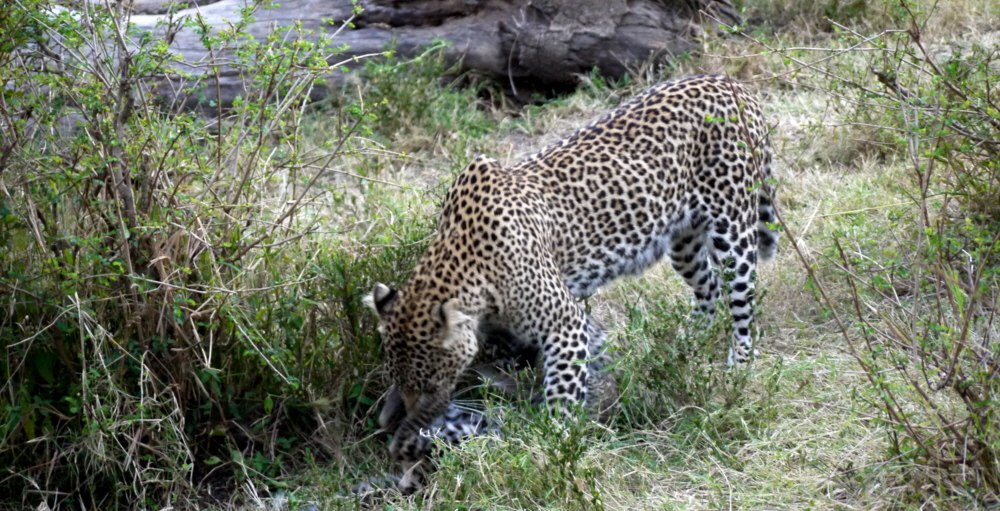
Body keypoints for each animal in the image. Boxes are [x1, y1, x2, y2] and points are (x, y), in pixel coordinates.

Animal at [364, 75, 776, 476]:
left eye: (431, 384)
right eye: (401, 380)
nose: (408, 419)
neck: (464, 262)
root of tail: (730, 83)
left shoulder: (564, 323)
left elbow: (562, 397)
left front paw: (553, 448)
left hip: (733, 233)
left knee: (742, 310)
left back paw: (736, 372)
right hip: (684, 242)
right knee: (708, 289)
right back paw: (683, 348)